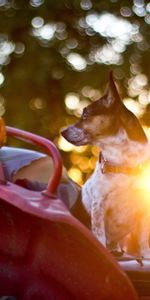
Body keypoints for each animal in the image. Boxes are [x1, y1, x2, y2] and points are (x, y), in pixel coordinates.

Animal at [61, 72, 150, 258]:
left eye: (85, 115)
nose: (62, 132)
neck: (124, 162)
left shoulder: (145, 209)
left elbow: (144, 238)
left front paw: (146, 256)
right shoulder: (99, 205)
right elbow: (99, 235)